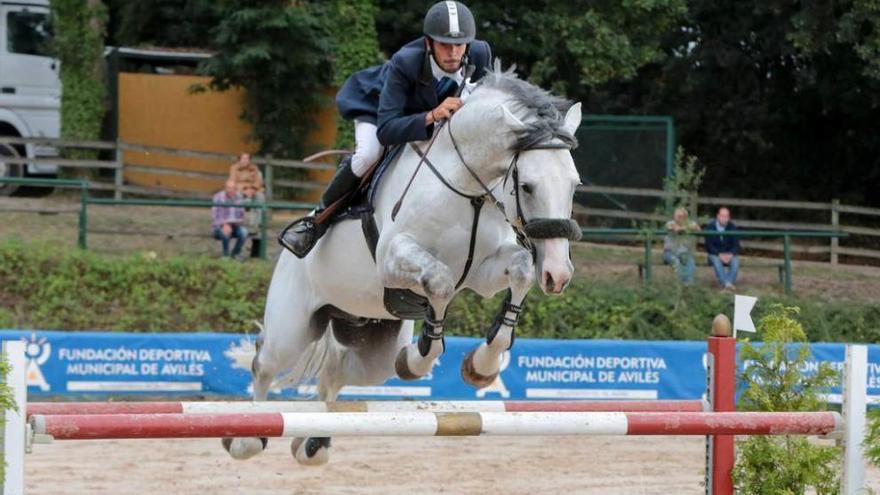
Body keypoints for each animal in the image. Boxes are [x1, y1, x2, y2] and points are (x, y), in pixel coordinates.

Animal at [225, 68, 584, 466]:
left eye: (574, 185)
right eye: (528, 186)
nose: (557, 274)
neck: (468, 188)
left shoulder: (483, 273)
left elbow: (519, 269)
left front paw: (482, 365)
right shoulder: (394, 258)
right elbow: (440, 282)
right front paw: (419, 358)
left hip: (373, 348)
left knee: (336, 373)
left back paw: (313, 444)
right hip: (293, 327)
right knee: (264, 363)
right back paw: (246, 438)